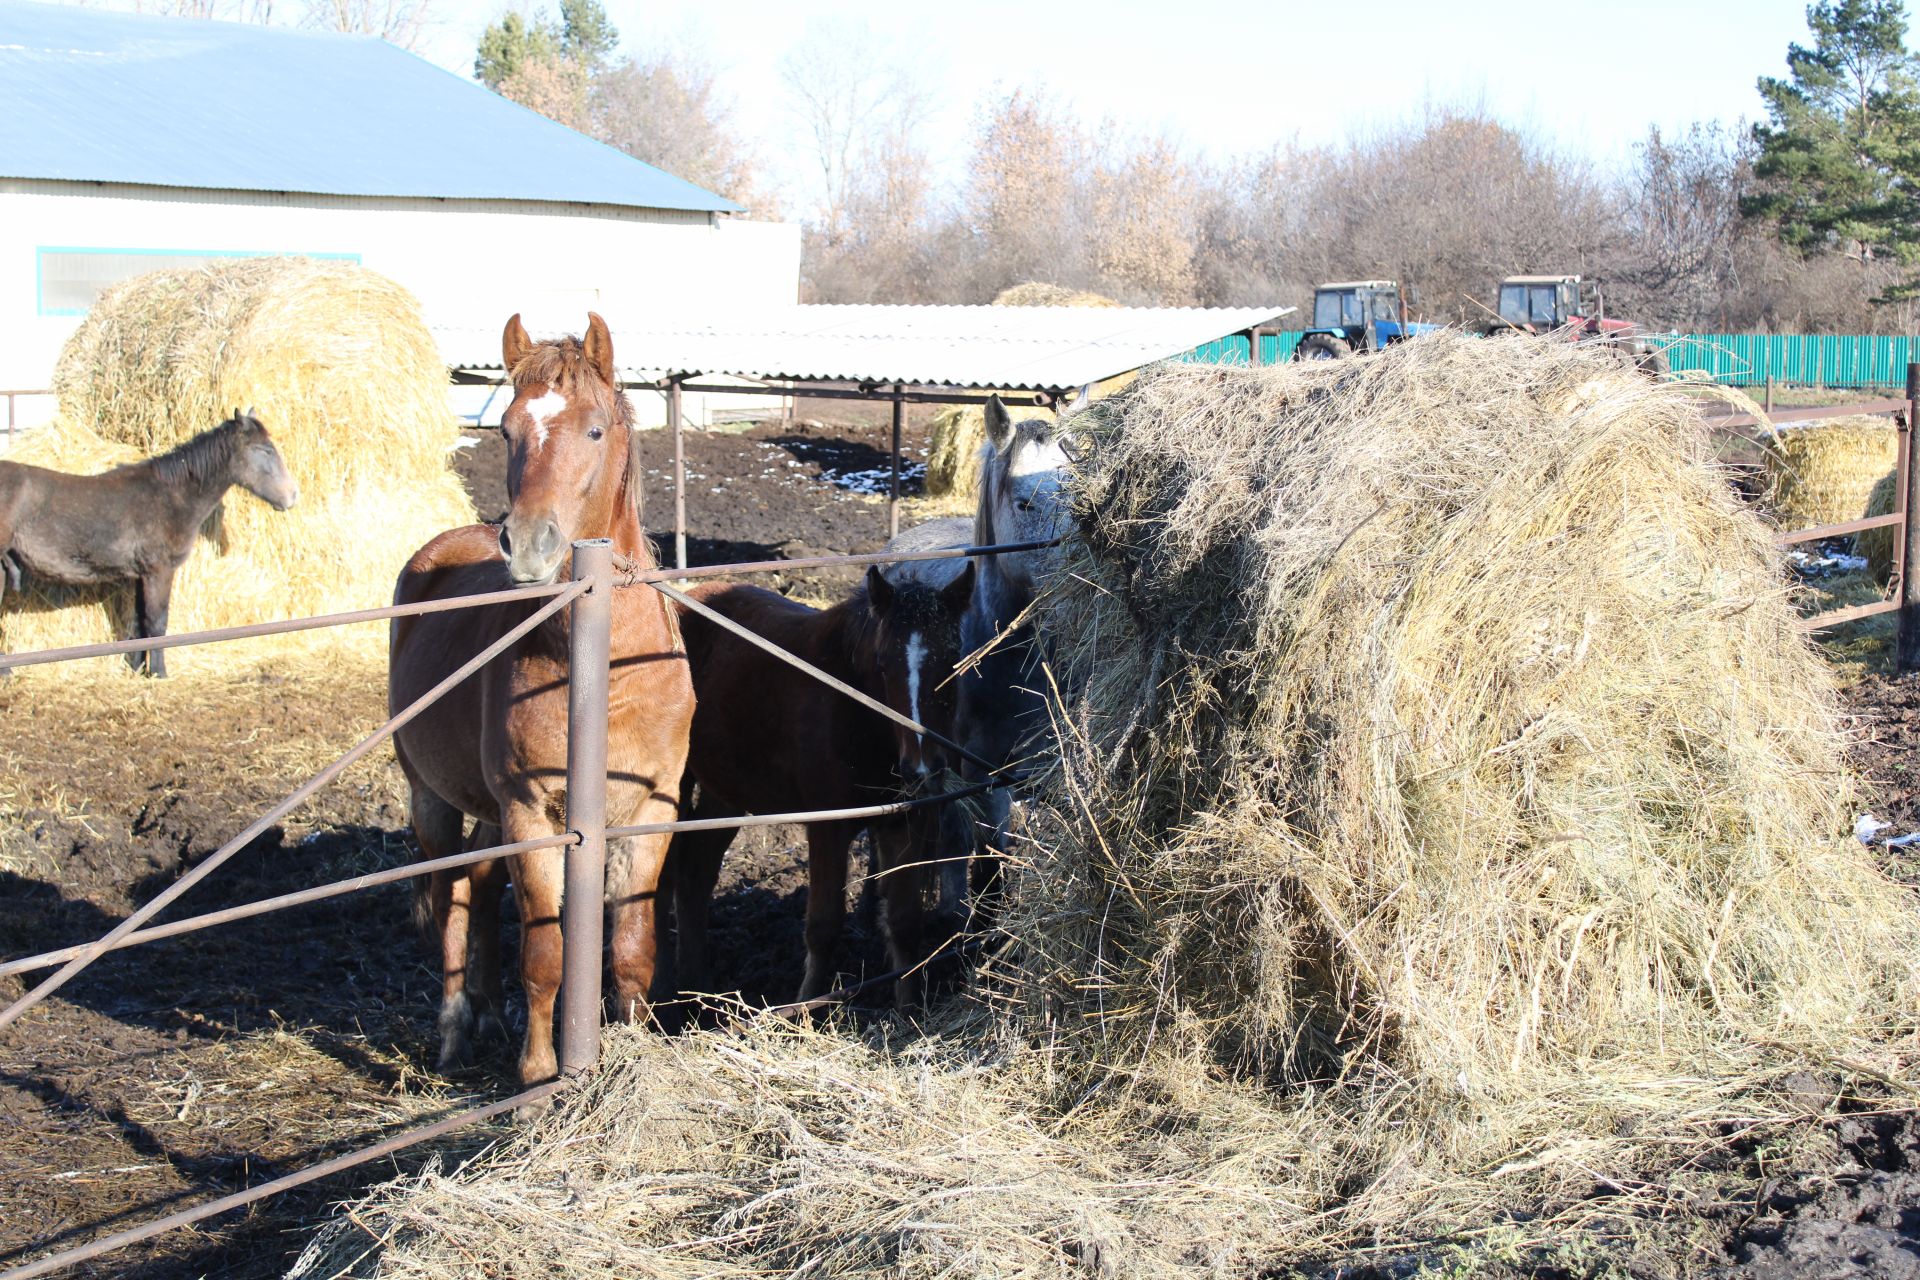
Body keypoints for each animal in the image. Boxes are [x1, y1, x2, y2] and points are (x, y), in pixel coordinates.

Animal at [0, 416, 297, 679]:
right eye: (265, 450)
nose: (292, 496)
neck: (172, 496)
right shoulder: (159, 572)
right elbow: (156, 622)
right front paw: (158, 672)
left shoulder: (139, 575)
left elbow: (138, 621)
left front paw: (137, 668)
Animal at [385, 314, 695, 1090]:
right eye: (506, 432)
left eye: (594, 429)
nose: (527, 545)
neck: (604, 677)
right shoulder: (532, 813)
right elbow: (548, 956)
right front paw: (535, 1079)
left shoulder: (654, 811)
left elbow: (633, 949)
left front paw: (633, 1056)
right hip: (432, 800)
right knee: (451, 894)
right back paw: (455, 1029)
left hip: (489, 813)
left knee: (477, 878)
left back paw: (486, 1011)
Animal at [672, 564, 975, 1013]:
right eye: (883, 665)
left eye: (953, 662)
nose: (921, 770)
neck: (857, 713)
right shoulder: (827, 826)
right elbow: (823, 927)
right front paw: (805, 1010)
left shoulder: (905, 821)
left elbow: (904, 921)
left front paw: (907, 1011)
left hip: (724, 793)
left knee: (696, 872)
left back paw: (697, 989)